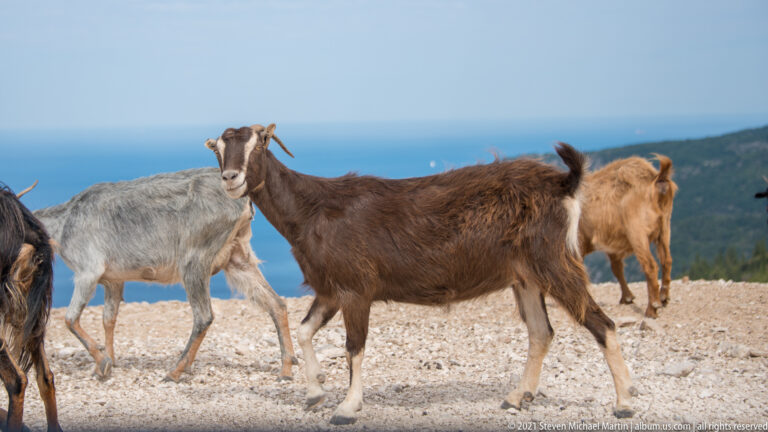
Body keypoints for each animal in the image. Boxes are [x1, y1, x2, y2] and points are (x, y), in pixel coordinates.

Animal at [34, 168, 297, 382]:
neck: (64, 221)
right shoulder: (113, 280)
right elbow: (108, 318)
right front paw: (107, 362)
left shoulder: (88, 271)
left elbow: (70, 319)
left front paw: (103, 363)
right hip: (237, 256)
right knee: (276, 303)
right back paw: (286, 368)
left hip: (194, 260)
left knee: (204, 316)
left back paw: (175, 371)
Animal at [205, 124, 637, 424]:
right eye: (219, 150)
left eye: (260, 143)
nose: (231, 178)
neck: (312, 210)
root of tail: (564, 182)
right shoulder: (329, 289)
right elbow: (306, 330)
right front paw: (314, 392)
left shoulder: (356, 288)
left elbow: (354, 347)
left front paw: (347, 407)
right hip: (526, 276)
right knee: (541, 332)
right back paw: (517, 397)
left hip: (554, 261)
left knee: (602, 323)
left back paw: (623, 403)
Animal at [578, 155, 677, 318]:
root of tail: (657, 179)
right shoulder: (611, 246)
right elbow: (616, 268)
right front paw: (627, 298)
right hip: (665, 227)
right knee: (666, 260)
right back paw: (664, 297)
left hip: (636, 231)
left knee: (650, 265)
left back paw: (652, 308)